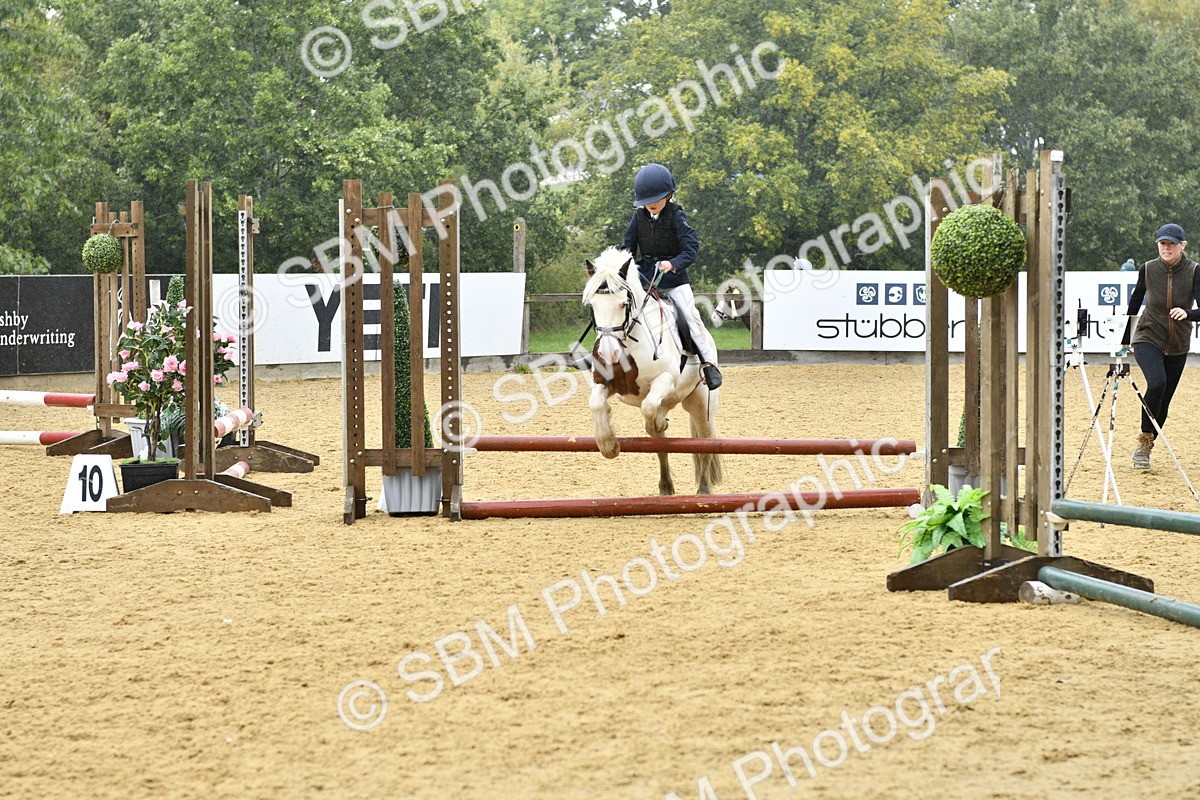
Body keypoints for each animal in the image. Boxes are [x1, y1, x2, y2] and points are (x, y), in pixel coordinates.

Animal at [582, 247, 722, 495]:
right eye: (592, 306)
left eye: (623, 304)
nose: (608, 353)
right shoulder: (605, 383)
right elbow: (596, 404)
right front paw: (608, 444)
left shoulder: (666, 379)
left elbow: (648, 406)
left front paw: (655, 423)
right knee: (661, 444)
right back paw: (666, 486)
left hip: (702, 403)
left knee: (705, 441)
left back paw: (703, 491)